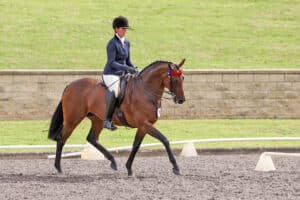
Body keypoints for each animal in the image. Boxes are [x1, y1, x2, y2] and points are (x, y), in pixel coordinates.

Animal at [47, 59, 185, 175]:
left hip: (97, 119)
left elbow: (136, 145)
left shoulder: (143, 126)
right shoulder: (144, 124)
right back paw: (59, 168)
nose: (181, 100)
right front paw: (176, 167)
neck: (146, 91)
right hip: (72, 120)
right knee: (61, 139)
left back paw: (113, 161)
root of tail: (70, 85)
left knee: (92, 138)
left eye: (183, 78)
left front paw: (129, 168)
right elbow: (164, 140)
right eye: (174, 80)